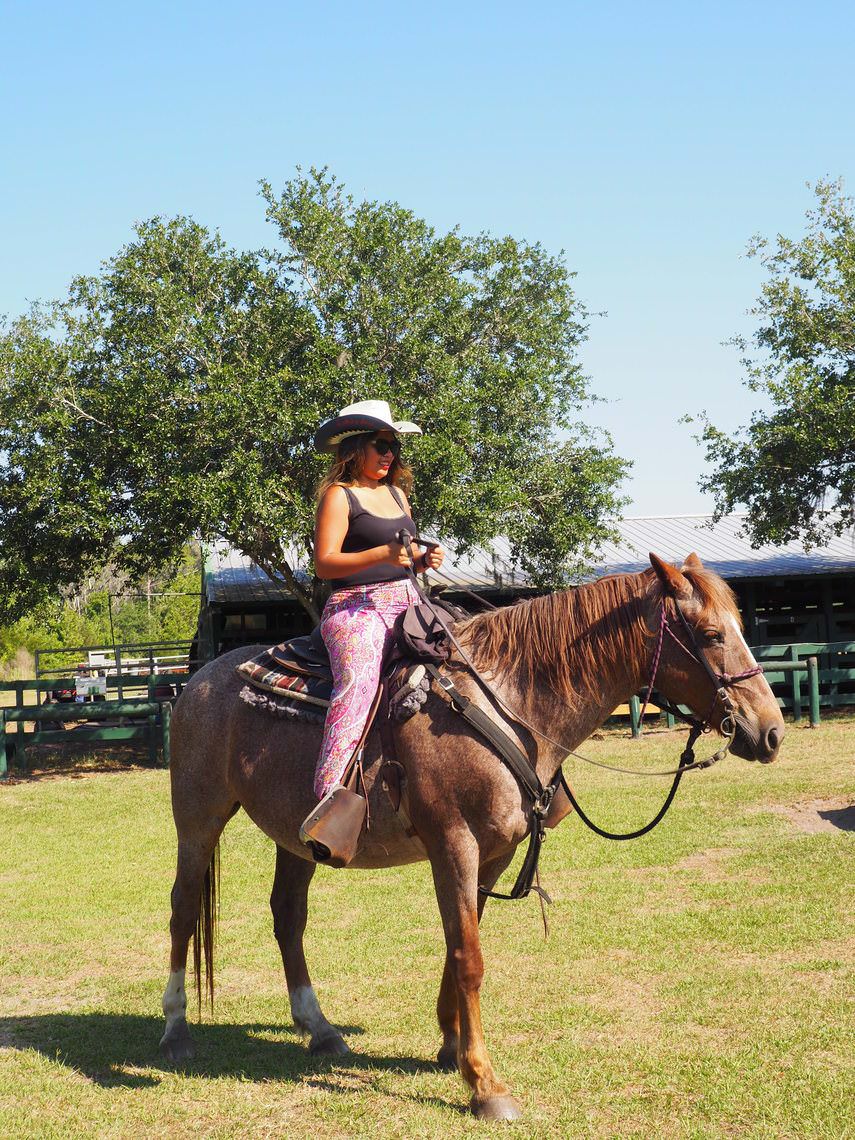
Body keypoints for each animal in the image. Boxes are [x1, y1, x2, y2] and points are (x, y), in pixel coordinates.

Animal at [157, 554, 788, 1121]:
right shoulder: (453, 843)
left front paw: (451, 1046)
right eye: (710, 634)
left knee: (287, 917)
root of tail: (197, 682)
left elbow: (460, 941)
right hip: (197, 819)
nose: (771, 732)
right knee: (183, 911)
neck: (506, 704)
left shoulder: (495, 852)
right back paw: (176, 1030)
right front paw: (484, 1083)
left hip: (297, 839)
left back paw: (320, 1030)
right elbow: (469, 957)